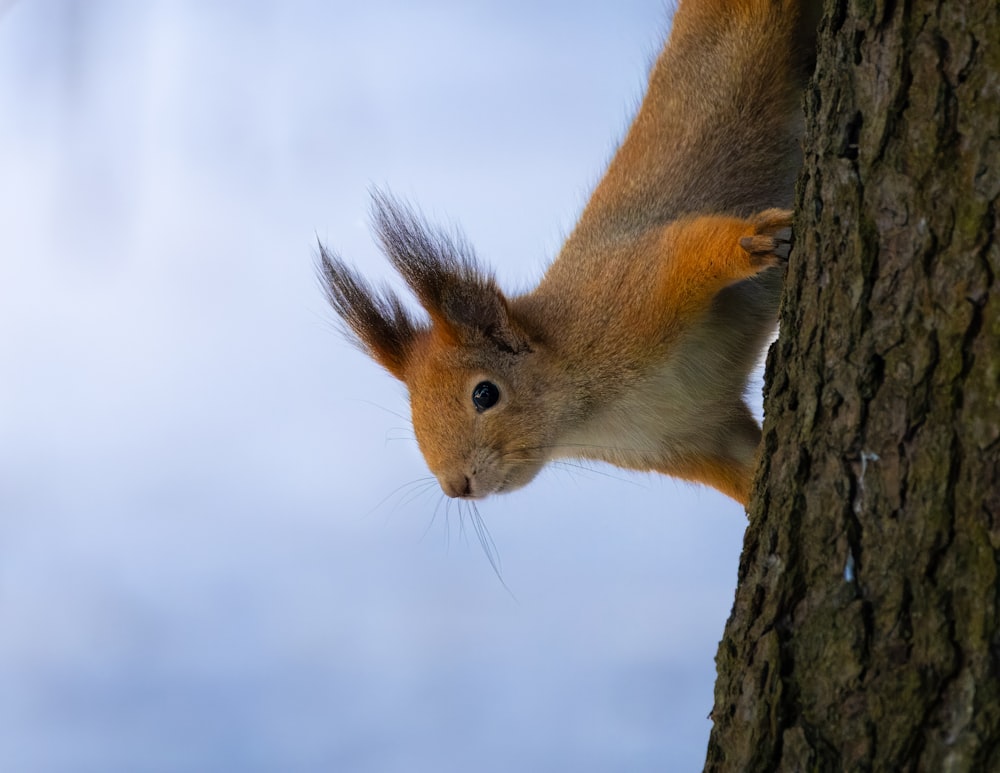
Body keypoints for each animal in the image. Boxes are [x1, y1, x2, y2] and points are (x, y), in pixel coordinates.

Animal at [320, 0, 820, 504]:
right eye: (413, 415)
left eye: (485, 394)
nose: (456, 486)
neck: (589, 416)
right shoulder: (691, 434)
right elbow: (748, 471)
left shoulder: (629, 290)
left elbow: (687, 247)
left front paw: (756, 241)